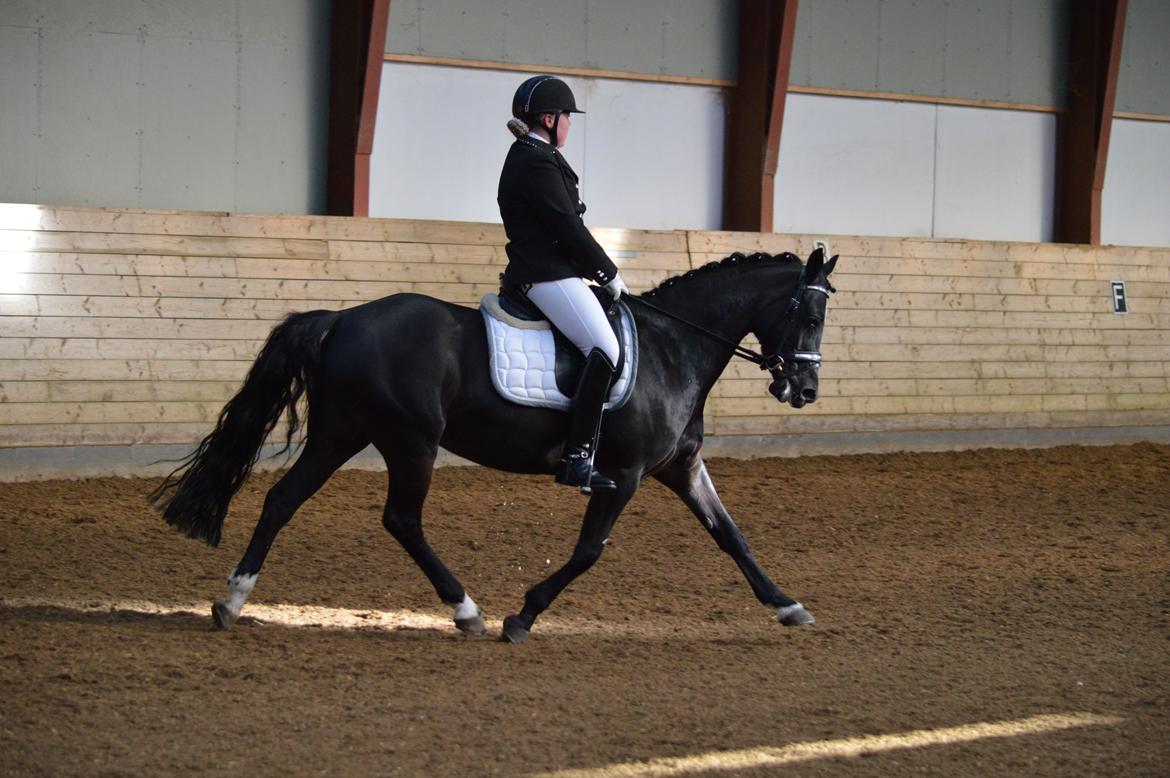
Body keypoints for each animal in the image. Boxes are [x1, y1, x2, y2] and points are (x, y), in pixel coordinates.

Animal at [155, 246, 837, 636]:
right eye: (810, 315)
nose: (804, 389)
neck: (676, 348)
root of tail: (342, 318)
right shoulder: (624, 474)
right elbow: (590, 550)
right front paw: (524, 615)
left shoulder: (682, 467)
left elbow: (731, 536)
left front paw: (787, 606)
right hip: (410, 440)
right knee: (401, 520)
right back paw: (467, 611)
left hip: (341, 433)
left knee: (282, 501)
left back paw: (232, 602)